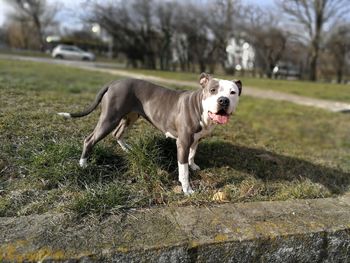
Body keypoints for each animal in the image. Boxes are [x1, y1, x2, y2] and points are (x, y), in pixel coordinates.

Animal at [58, 73, 242, 195]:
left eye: (233, 92)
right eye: (213, 90)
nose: (223, 100)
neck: (201, 107)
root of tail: (114, 82)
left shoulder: (196, 139)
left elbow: (192, 153)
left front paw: (193, 165)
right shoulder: (182, 142)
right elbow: (183, 170)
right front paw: (187, 189)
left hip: (131, 116)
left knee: (117, 134)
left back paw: (127, 150)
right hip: (109, 118)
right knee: (90, 139)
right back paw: (83, 164)